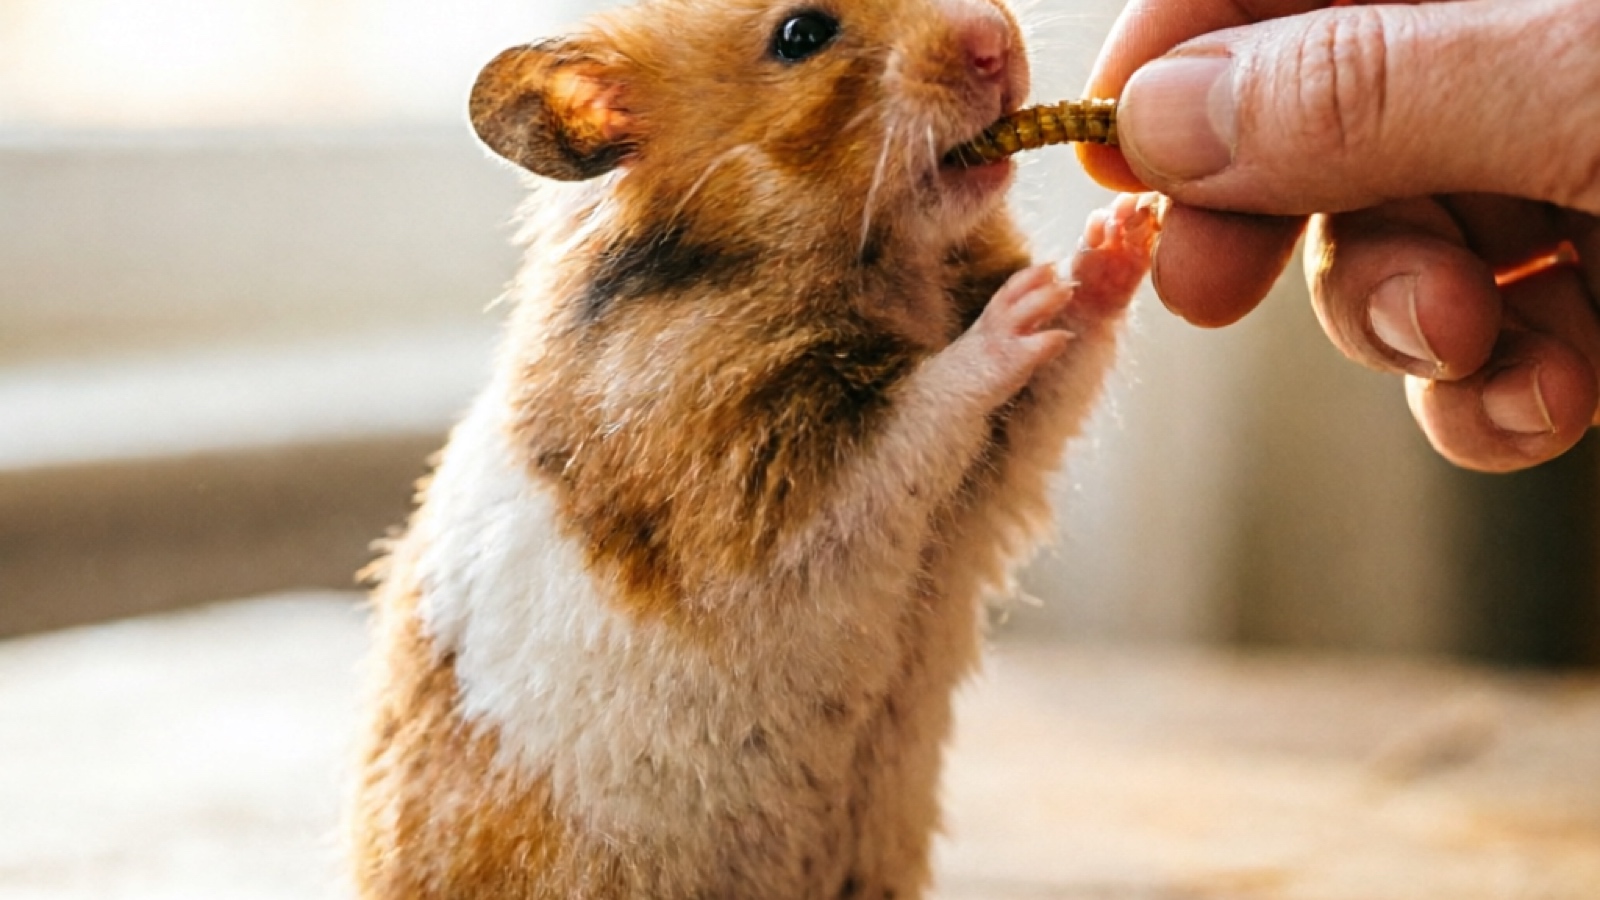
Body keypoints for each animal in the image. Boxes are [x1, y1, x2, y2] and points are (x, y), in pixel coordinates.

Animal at [347, 0, 1156, 898]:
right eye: (801, 35)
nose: (995, 39)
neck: (887, 265)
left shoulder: (1002, 462)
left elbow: (1065, 360)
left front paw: (1124, 230)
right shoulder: (763, 489)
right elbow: (922, 411)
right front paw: (1022, 306)